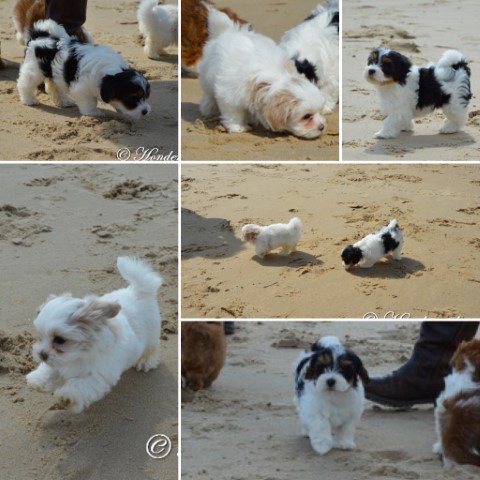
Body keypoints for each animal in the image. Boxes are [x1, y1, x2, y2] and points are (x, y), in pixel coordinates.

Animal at [17, 19, 151, 119]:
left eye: (146, 96)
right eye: (133, 98)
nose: (145, 111)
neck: (110, 73)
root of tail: (39, 36)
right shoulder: (82, 88)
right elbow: (89, 102)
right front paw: (93, 113)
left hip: (55, 72)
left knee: (53, 86)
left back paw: (64, 101)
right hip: (34, 69)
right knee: (25, 83)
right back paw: (29, 99)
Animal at [25, 255, 161, 412]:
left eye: (60, 340)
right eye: (40, 337)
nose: (41, 354)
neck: (79, 355)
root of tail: (138, 291)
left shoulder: (98, 377)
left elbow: (80, 386)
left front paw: (67, 397)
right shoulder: (60, 362)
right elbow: (50, 370)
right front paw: (37, 379)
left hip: (152, 334)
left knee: (152, 348)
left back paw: (146, 361)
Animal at [200, 24, 330, 138]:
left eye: (320, 111)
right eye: (306, 116)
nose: (322, 127)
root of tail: (229, 30)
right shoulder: (230, 95)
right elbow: (234, 113)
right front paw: (238, 127)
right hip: (207, 77)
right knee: (208, 94)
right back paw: (207, 107)